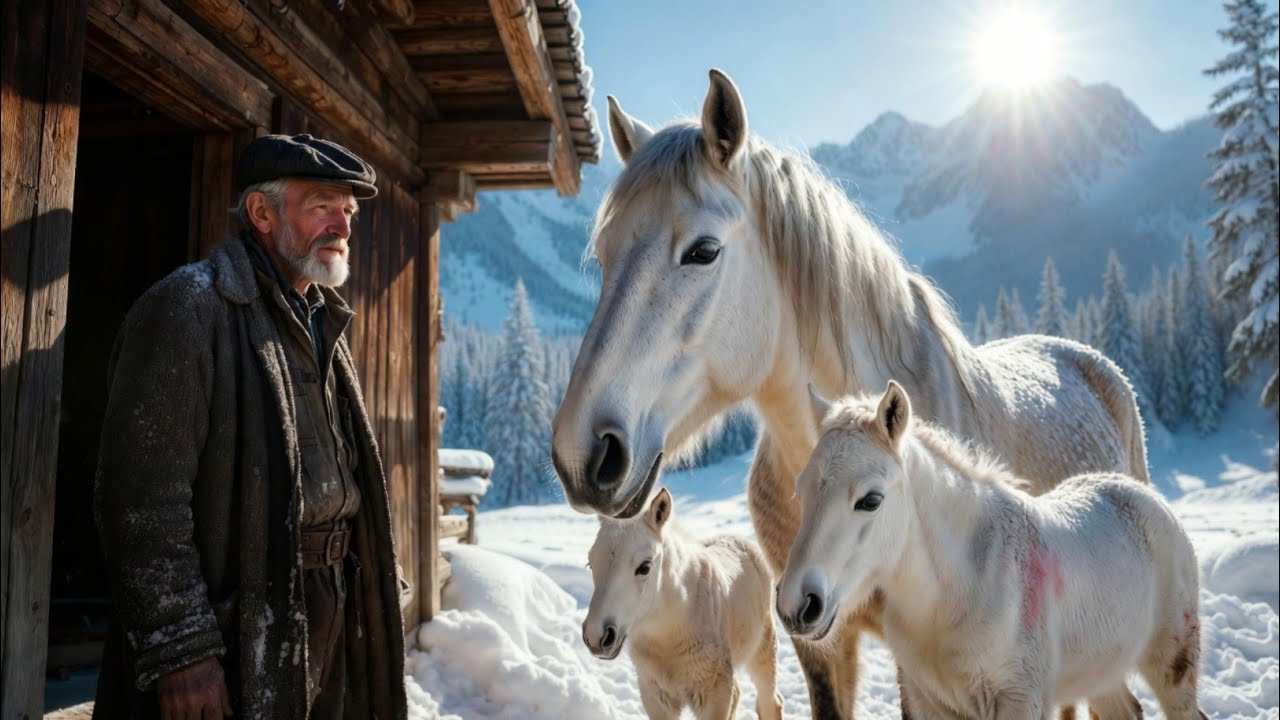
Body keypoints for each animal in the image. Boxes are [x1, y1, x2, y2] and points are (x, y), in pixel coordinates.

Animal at [582, 488, 784, 720]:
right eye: (590, 563)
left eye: (645, 566)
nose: (596, 636)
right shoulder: (654, 694)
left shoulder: (714, 692)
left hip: (763, 648)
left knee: (769, 702)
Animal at [776, 382, 1206, 720]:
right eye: (800, 490)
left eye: (871, 500)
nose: (797, 605)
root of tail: (1146, 496)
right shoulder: (928, 701)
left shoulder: (1020, 700)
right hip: (1102, 672)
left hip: (1173, 667)